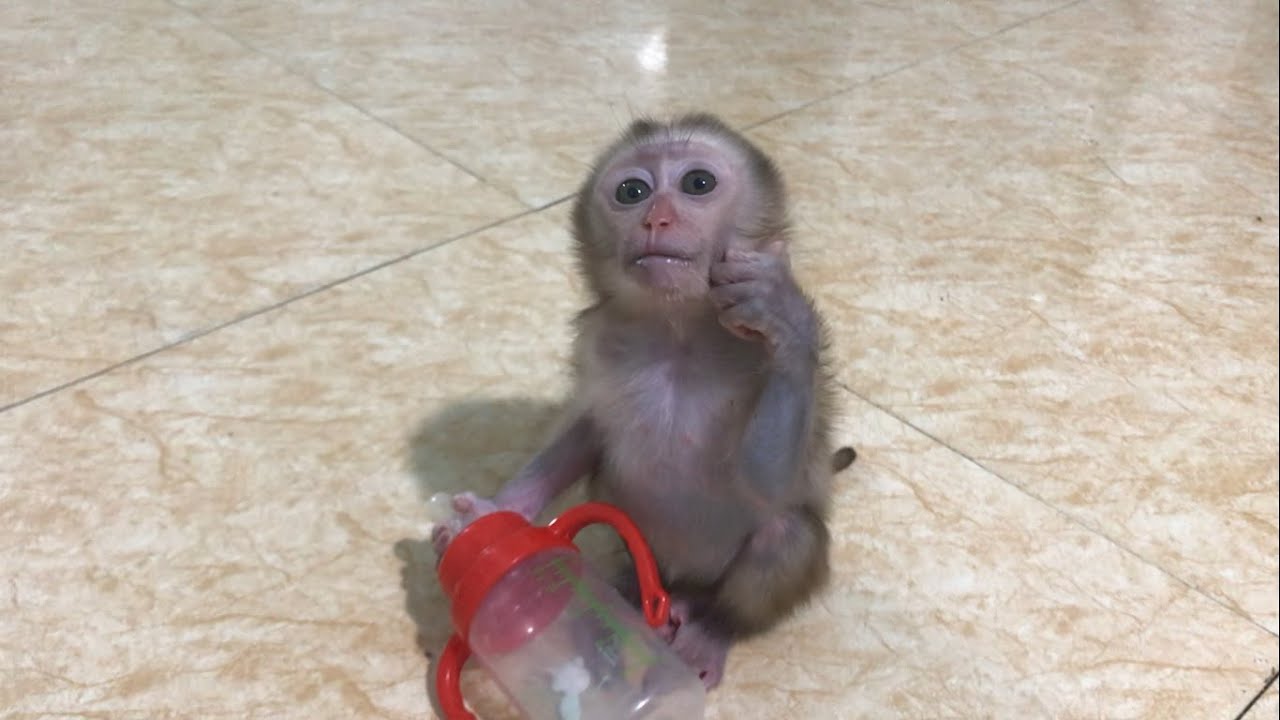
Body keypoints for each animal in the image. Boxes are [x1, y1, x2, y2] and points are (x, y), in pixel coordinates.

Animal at [431, 113, 855, 689]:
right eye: (632, 191)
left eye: (698, 183)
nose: (657, 219)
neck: (678, 334)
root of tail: (682, 585)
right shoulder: (599, 341)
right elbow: (586, 434)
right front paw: (493, 514)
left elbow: (770, 483)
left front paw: (784, 315)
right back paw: (622, 604)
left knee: (785, 533)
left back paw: (710, 628)